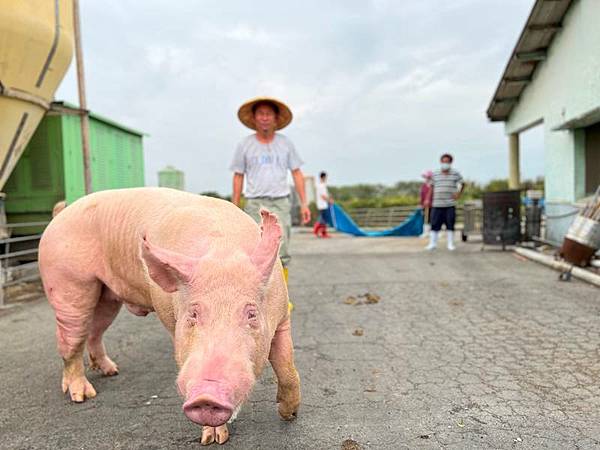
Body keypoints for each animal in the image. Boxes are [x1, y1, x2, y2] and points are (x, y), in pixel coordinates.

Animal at [38, 188, 300, 444]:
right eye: (193, 314)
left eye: (251, 313)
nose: (206, 395)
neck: (221, 250)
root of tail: (59, 215)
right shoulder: (174, 326)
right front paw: (213, 439)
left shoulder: (282, 318)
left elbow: (286, 365)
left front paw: (290, 415)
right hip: (67, 282)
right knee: (71, 340)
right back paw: (82, 395)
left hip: (106, 296)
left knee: (95, 330)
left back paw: (112, 371)